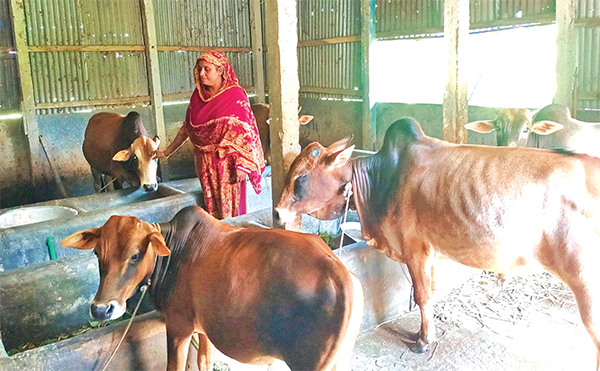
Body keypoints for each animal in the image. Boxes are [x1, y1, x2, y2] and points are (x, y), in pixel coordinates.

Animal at [61, 206, 364, 371]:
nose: (101, 309)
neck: (174, 251)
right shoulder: (203, 329)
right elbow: (204, 363)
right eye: (97, 253)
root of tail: (342, 276)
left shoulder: (179, 326)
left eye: (135, 255)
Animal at [278, 118, 600, 370]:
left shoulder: (415, 250)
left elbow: (421, 296)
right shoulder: (430, 253)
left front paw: (423, 340)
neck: (382, 176)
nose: (279, 212)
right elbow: (430, 294)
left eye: (301, 178)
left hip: (585, 280)